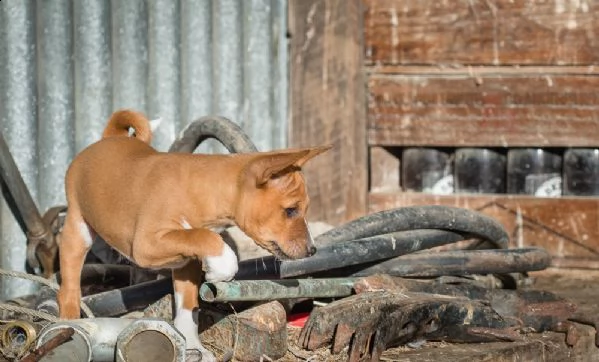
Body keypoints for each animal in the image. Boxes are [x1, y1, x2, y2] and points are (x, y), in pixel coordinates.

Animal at [58, 109, 330, 360]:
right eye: (290, 210)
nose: (312, 250)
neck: (201, 190)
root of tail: (109, 139)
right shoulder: (146, 244)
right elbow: (207, 238)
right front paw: (220, 269)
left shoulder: (185, 261)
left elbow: (188, 308)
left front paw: (192, 347)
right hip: (78, 229)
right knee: (68, 287)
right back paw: (69, 326)